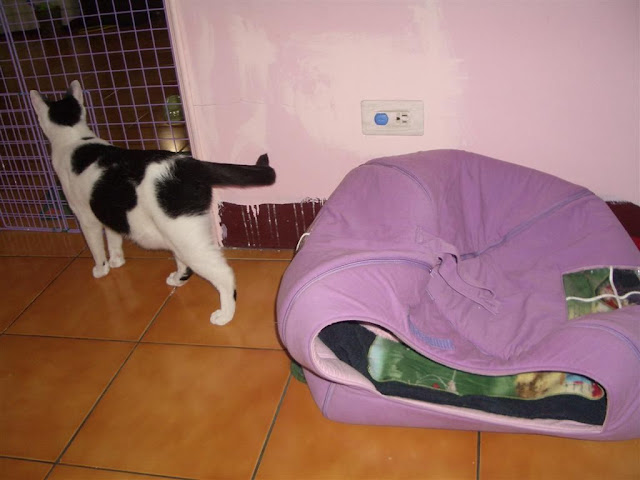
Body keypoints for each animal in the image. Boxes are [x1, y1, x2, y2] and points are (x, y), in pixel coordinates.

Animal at [30, 80, 275, 326]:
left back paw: (224, 314)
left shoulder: (85, 216)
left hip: (185, 236)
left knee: (223, 273)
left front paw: (101, 269)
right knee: (185, 261)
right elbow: (114, 238)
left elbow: (96, 247)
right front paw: (117, 260)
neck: (75, 138)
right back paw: (178, 278)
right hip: (179, 233)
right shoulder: (110, 214)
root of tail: (189, 163)